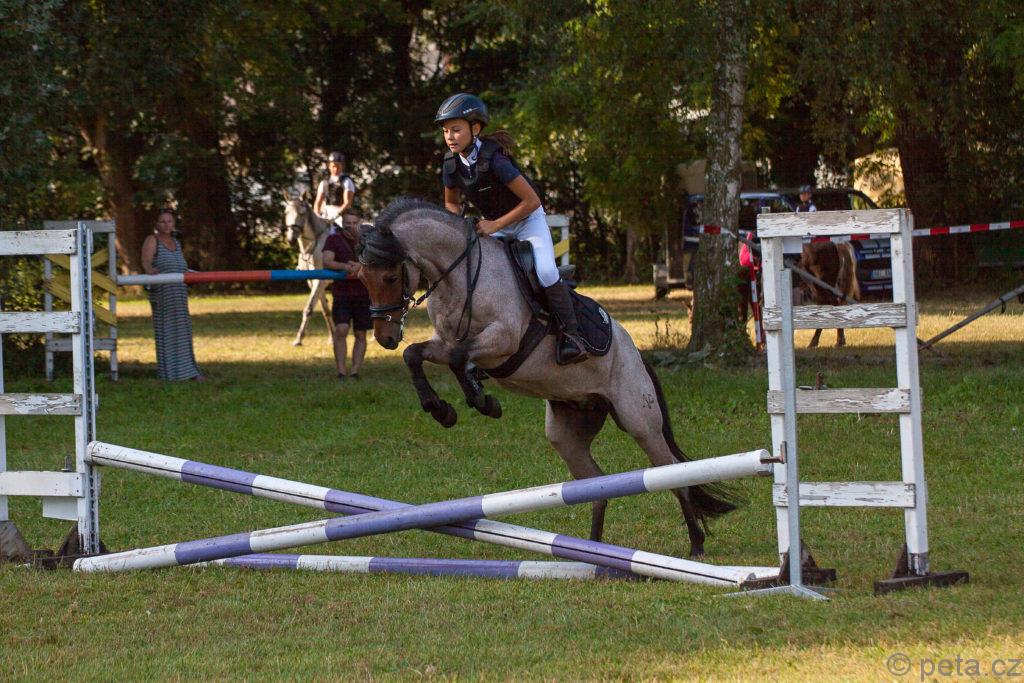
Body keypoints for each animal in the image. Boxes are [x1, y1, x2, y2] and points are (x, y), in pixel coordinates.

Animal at [282, 193, 335, 346]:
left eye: (302, 213)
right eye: (286, 212)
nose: (291, 239)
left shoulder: (319, 281)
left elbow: (309, 308)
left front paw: (299, 339)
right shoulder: (313, 282)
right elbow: (325, 310)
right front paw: (333, 337)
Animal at [356, 197, 737, 558]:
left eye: (390, 277)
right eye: (362, 278)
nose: (384, 338)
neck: (460, 275)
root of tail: (637, 355)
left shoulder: (504, 339)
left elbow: (458, 359)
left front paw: (483, 401)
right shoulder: (445, 342)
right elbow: (416, 355)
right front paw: (441, 410)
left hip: (640, 422)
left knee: (673, 476)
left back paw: (695, 545)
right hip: (568, 432)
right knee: (595, 486)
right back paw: (594, 554)